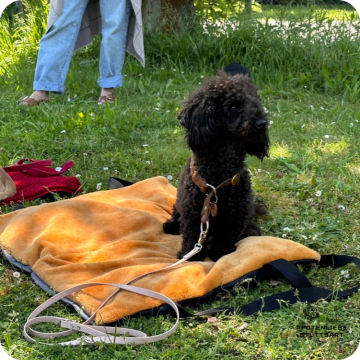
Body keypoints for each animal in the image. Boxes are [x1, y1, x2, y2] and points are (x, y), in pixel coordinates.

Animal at [163, 62, 270, 262]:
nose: (262, 123)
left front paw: (220, 254)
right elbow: (191, 235)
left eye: (254, 104)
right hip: (180, 204)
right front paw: (189, 256)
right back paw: (171, 225)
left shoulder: (235, 215)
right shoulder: (193, 212)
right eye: (234, 105)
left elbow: (226, 237)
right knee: (176, 214)